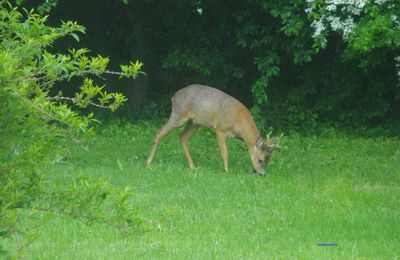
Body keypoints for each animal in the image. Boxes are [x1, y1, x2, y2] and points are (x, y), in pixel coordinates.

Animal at [145, 84, 280, 176]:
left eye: (268, 160)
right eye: (260, 160)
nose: (262, 173)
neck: (239, 123)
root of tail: (174, 96)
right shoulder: (220, 129)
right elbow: (225, 152)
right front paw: (226, 170)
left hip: (195, 123)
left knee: (182, 137)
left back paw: (193, 166)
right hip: (179, 114)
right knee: (159, 132)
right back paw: (148, 162)